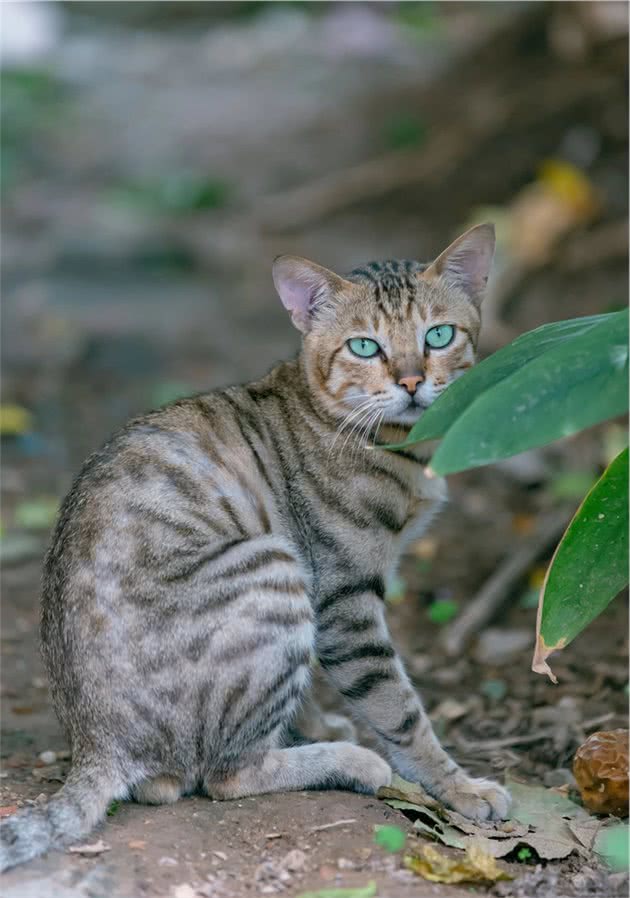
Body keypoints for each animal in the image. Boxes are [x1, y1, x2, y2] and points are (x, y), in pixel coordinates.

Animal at [0, 222, 512, 868]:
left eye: (438, 335)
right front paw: (461, 788)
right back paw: (351, 763)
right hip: (272, 569)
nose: (413, 382)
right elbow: (399, 708)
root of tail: (94, 741)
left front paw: (318, 722)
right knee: (223, 774)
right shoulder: (343, 596)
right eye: (364, 347)